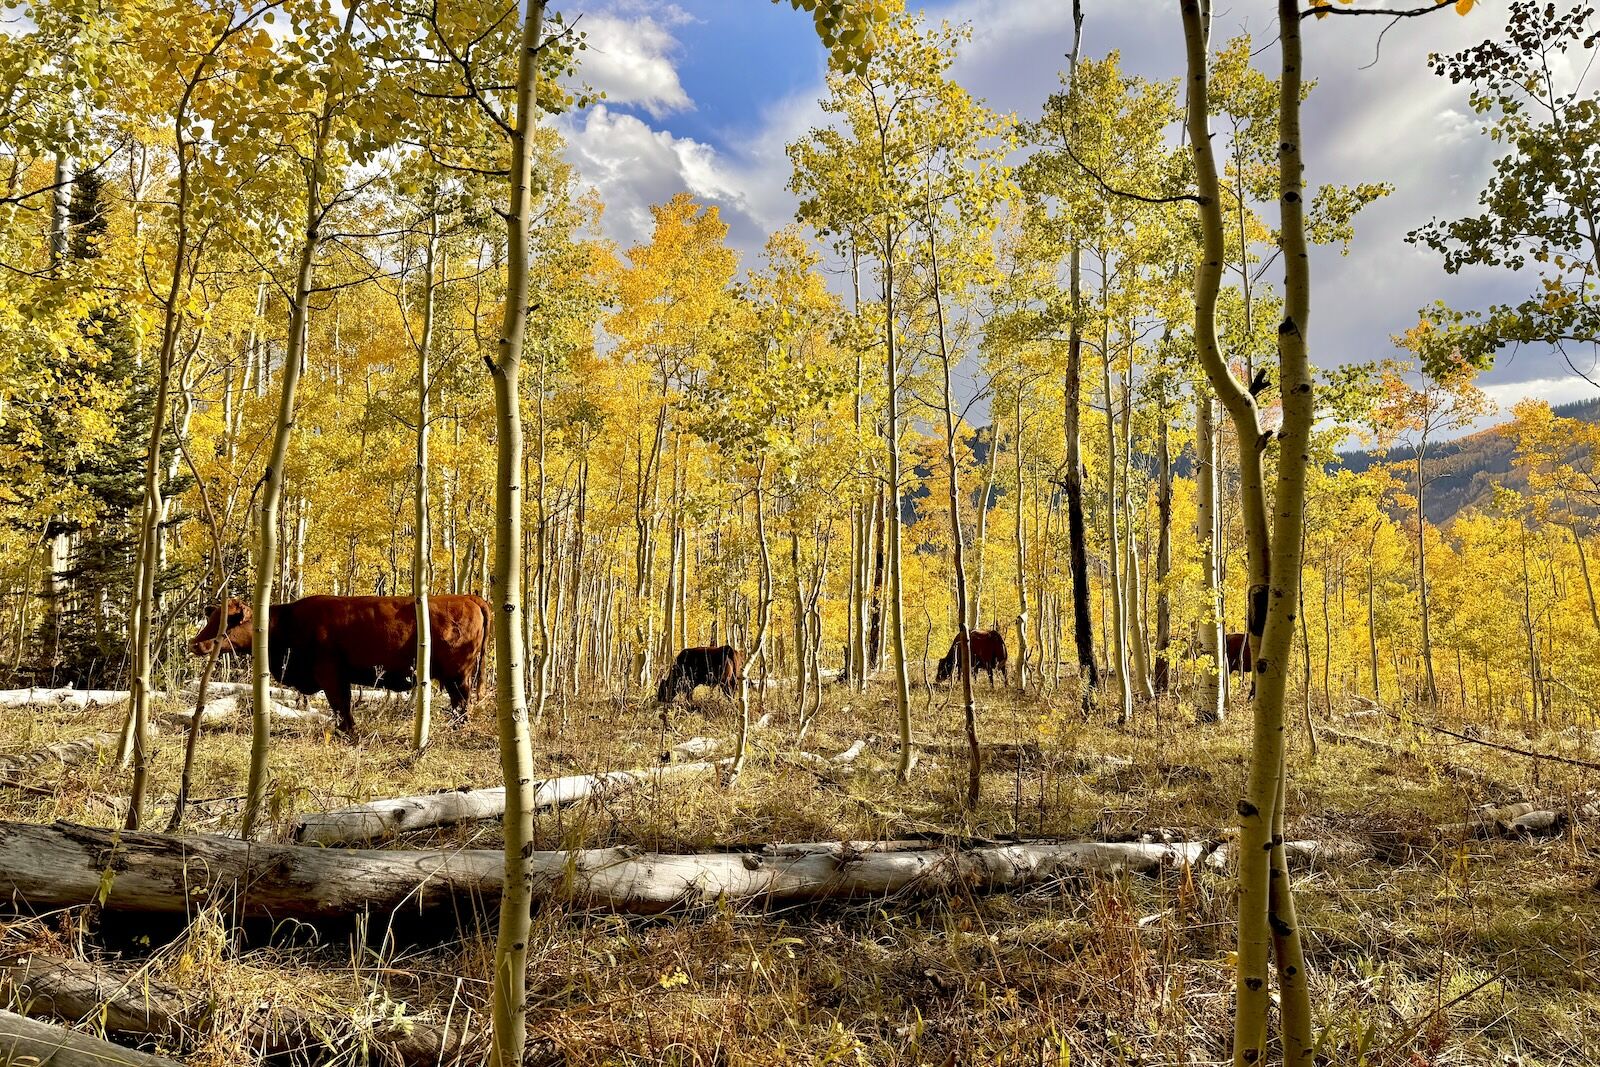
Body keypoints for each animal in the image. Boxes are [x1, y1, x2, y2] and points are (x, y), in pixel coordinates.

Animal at [188, 598, 489, 739]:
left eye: (228, 620)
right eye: (211, 618)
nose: (195, 644)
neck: (285, 622)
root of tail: (468, 598)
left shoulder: (331, 675)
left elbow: (340, 705)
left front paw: (349, 732)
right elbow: (342, 706)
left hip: (458, 676)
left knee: (462, 703)